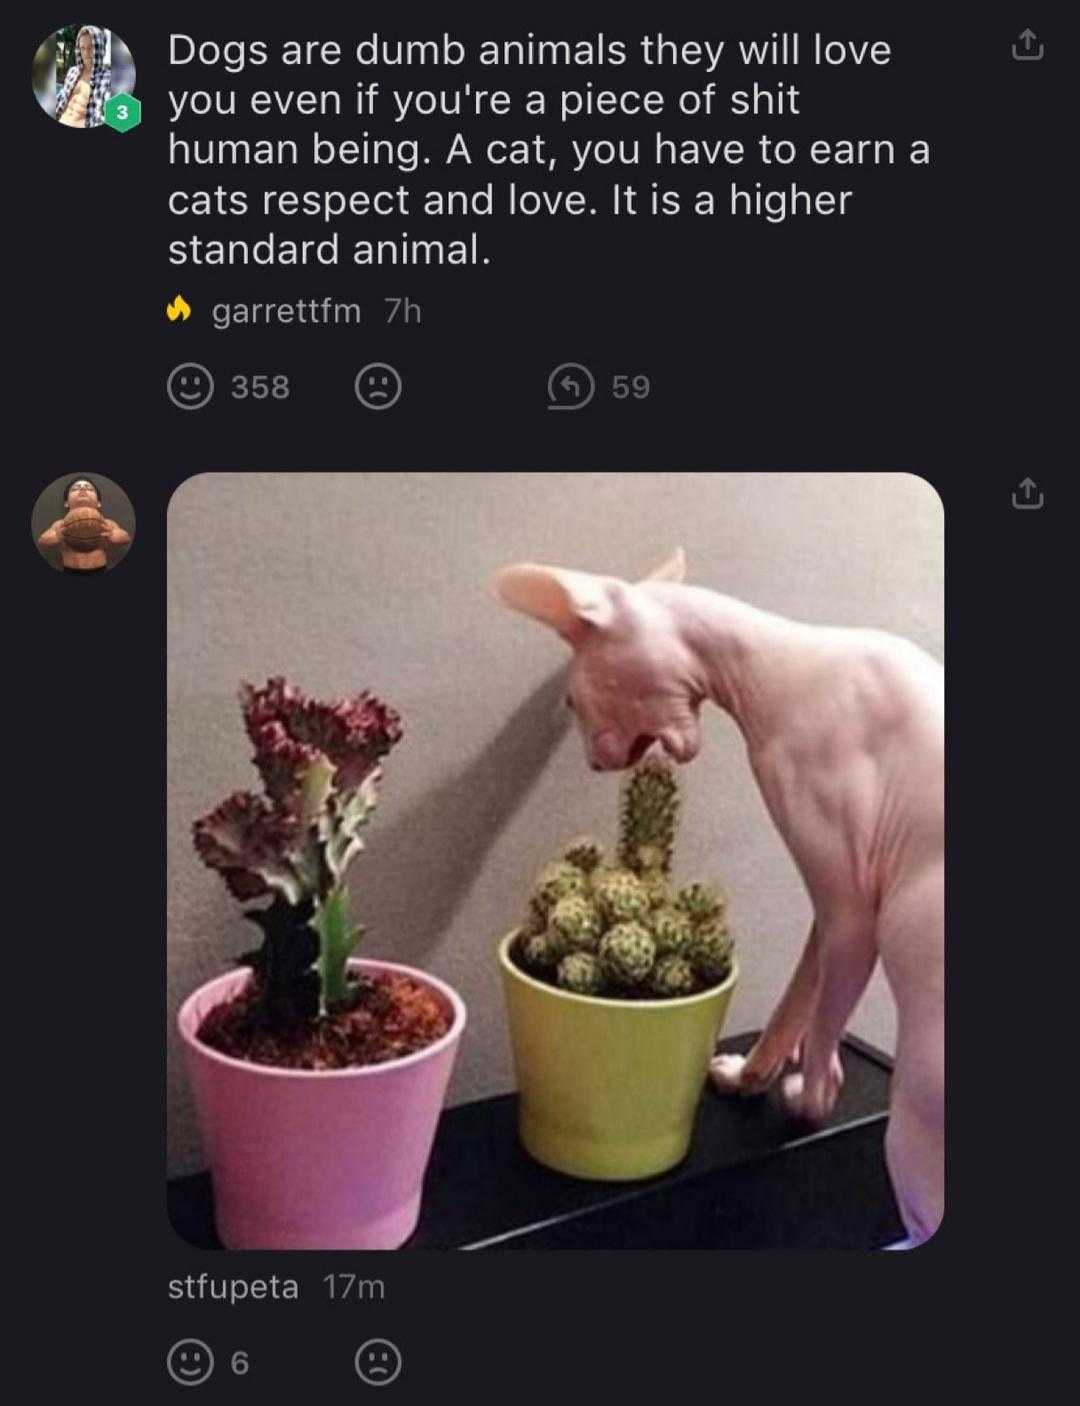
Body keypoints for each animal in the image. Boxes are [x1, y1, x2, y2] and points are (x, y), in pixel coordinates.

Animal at [495, 548, 939, 1242]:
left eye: (570, 698)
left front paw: (810, 1097)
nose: (595, 764)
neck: (782, 662)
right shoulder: (834, 908)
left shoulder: (849, 911)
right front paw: (758, 1074)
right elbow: (800, 997)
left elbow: (820, 1012)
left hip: (912, 1134)